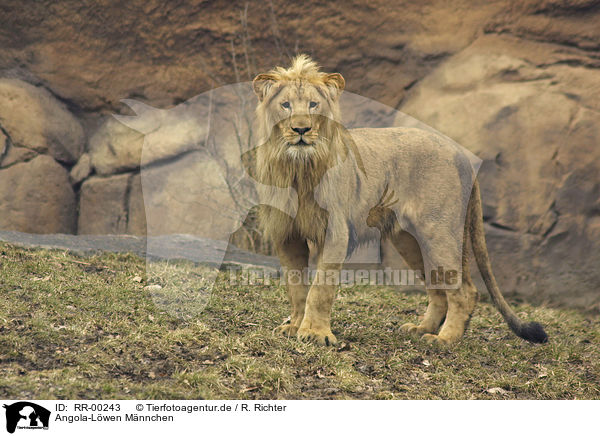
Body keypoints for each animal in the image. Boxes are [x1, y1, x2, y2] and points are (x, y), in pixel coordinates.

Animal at [248, 54, 548, 346]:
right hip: (409, 239)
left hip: (438, 232)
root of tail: (458, 151)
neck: (297, 168)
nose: (301, 129)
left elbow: (320, 289)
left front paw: (316, 334)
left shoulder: (335, 231)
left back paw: (444, 339)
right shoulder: (287, 234)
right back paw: (421, 328)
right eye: (286, 105)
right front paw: (295, 327)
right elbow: (296, 287)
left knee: (465, 291)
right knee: (438, 289)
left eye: (313, 104)